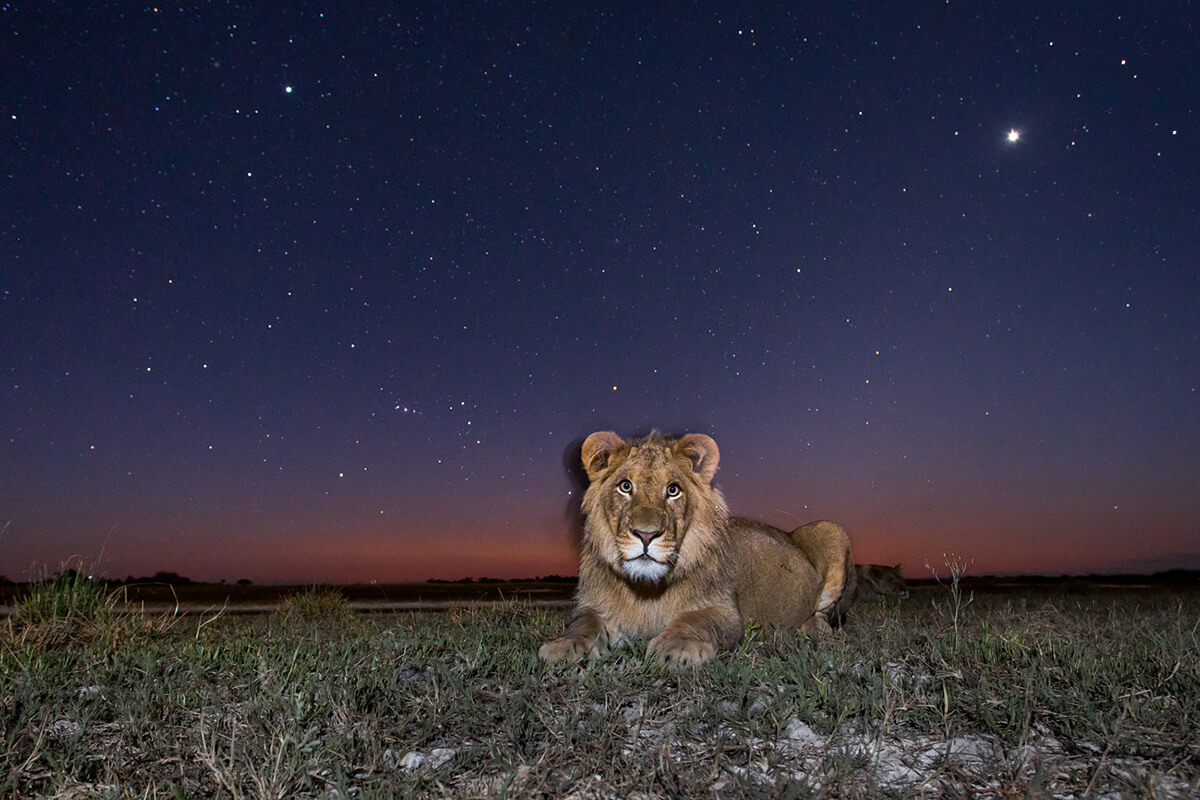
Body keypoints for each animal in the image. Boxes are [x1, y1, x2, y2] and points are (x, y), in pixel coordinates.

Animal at [540, 429, 859, 666]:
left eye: (673, 490)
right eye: (625, 486)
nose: (646, 534)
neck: (647, 589)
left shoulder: (725, 611)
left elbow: (697, 620)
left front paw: (677, 647)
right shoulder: (592, 604)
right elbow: (583, 623)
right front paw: (564, 647)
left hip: (832, 530)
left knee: (827, 616)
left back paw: (812, 628)